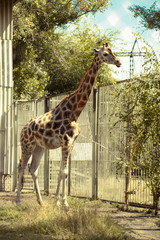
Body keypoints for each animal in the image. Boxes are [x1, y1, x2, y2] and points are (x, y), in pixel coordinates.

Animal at [16, 42, 121, 205]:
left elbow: (63, 172)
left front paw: (59, 201)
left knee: (33, 169)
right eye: (105, 54)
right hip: (27, 145)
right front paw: (62, 202)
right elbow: (64, 172)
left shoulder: (72, 142)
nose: (118, 62)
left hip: (39, 147)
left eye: (113, 51)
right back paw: (18, 201)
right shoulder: (66, 141)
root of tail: (22, 130)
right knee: (21, 166)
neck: (74, 111)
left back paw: (41, 202)